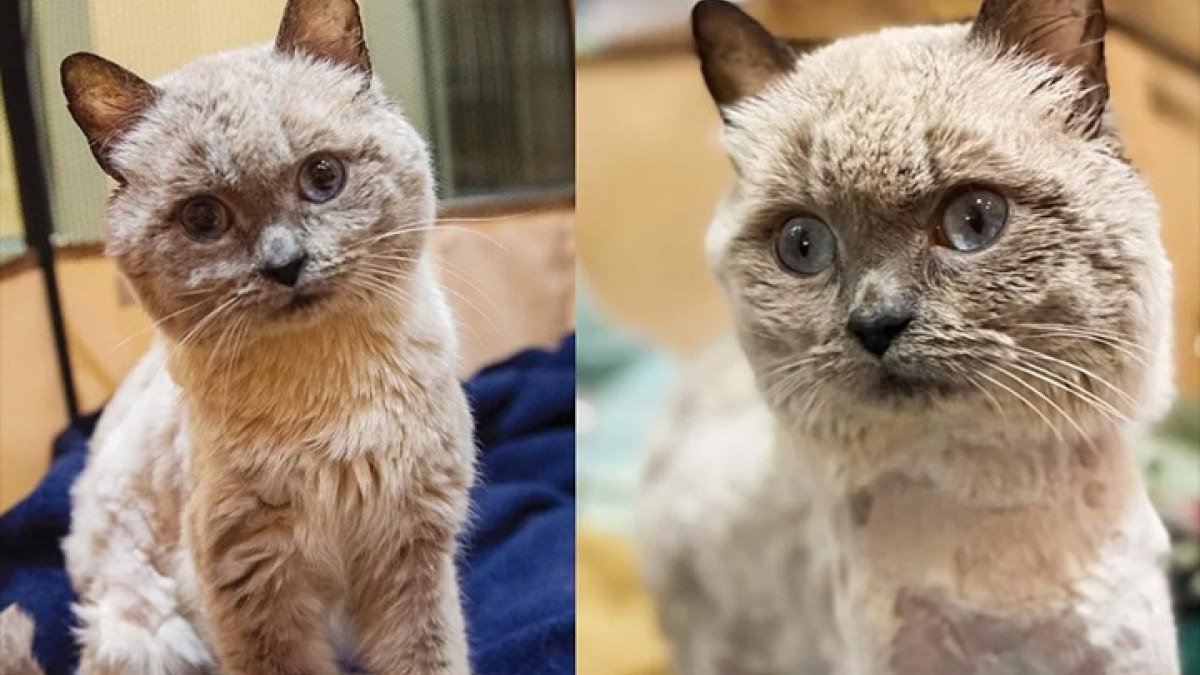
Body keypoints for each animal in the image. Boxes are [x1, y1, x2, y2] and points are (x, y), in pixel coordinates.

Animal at [58, 1, 472, 672]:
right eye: (204, 218)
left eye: (323, 176)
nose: (285, 264)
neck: (328, 395)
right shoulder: (256, 585)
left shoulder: (411, 557)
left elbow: (429, 657)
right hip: (150, 634)